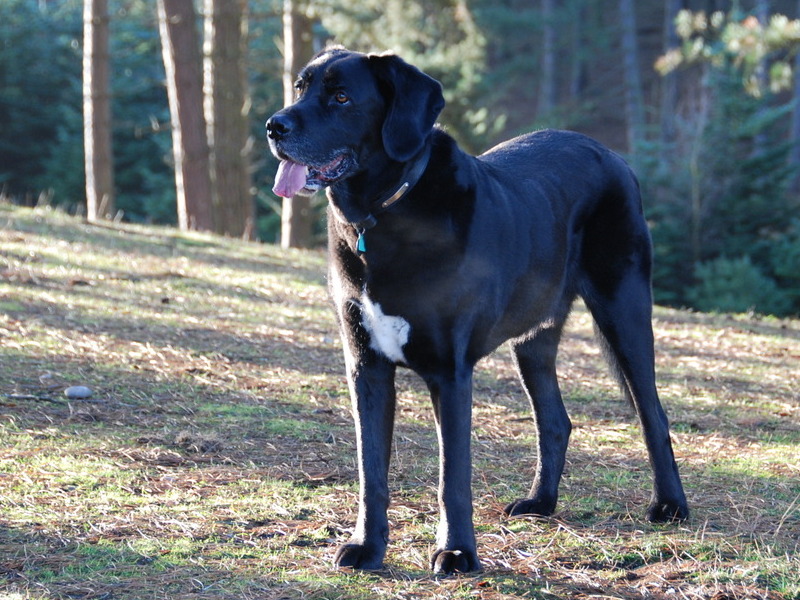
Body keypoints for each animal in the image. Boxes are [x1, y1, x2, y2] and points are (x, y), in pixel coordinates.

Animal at [268, 47, 688, 572]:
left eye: (341, 97)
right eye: (300, 87)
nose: (274, 126)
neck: (382, 213)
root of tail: (613, 155)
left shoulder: (450, 373)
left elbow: (452, 476)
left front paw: (456, 552)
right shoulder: (366, 366)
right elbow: (372, 471)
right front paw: (368, 547)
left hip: (624, 312)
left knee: (654, 414)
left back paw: (670, 506)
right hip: (533, 339)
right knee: (555, 420)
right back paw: (541, 502)